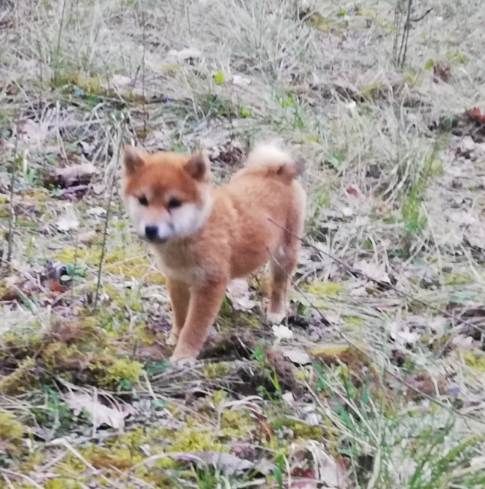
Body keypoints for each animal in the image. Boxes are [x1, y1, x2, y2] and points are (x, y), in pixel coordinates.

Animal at [122, 143, 302, 360]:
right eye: (143, 200)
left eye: (174, 203)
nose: (151, 229)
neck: (195, 233)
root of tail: (277, 172)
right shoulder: (177, 279)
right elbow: (181, 316)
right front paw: (175, 337)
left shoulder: (210, 284)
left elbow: (194, 327)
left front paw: (183, 356)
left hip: (283, 254)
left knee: (279, 285)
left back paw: (276, 312)